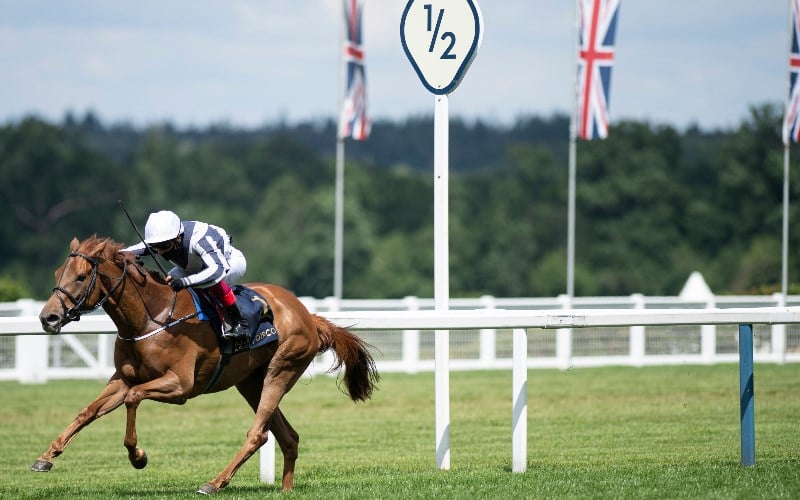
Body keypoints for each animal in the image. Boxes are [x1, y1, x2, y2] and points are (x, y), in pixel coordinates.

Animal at [32, 236, 376, 494]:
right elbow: (88, 411)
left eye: (80, 277)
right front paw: (46, 457)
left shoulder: (179, 385)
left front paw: (138, 456)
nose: (48, 317)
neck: (151, 318)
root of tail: (307, 314)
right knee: (286, 436)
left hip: (281, 370)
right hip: (250, 382)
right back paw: (284, 489)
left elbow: (134, 398)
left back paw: (214, 482)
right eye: (57, 274)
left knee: (258, 433)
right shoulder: (122, 380)